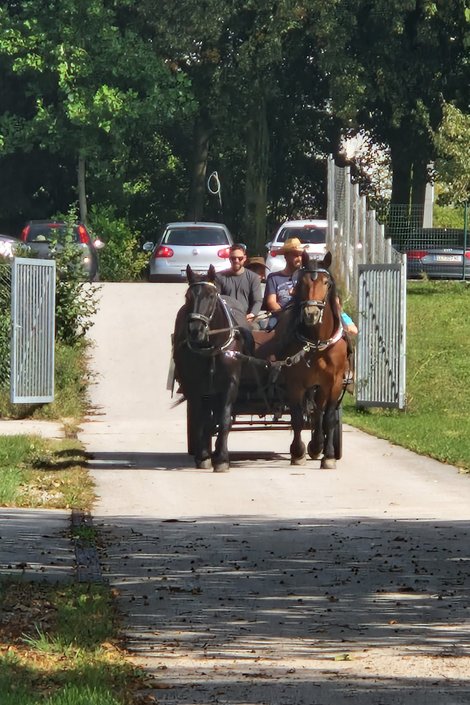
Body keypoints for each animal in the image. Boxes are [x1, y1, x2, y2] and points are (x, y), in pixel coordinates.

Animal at [172, 264, 246, 472]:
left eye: (211, 296)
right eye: (188, 296)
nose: (195, 330)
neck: (211, 346)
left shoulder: (230, 384)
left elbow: (224, 419)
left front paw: (221, 459)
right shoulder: (194, 385)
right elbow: (201, 418)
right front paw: (204, 456)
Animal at [280, 252, 348, 468]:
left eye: (326, 282)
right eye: (302, 282)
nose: (311, 313)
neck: (317, 343)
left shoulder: (334, 382)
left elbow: (328, 418)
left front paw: (328, 456)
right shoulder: (295, 383)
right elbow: (296, 418)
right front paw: (297, 452)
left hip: (321, 385)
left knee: (318, 413)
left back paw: (318, 445)